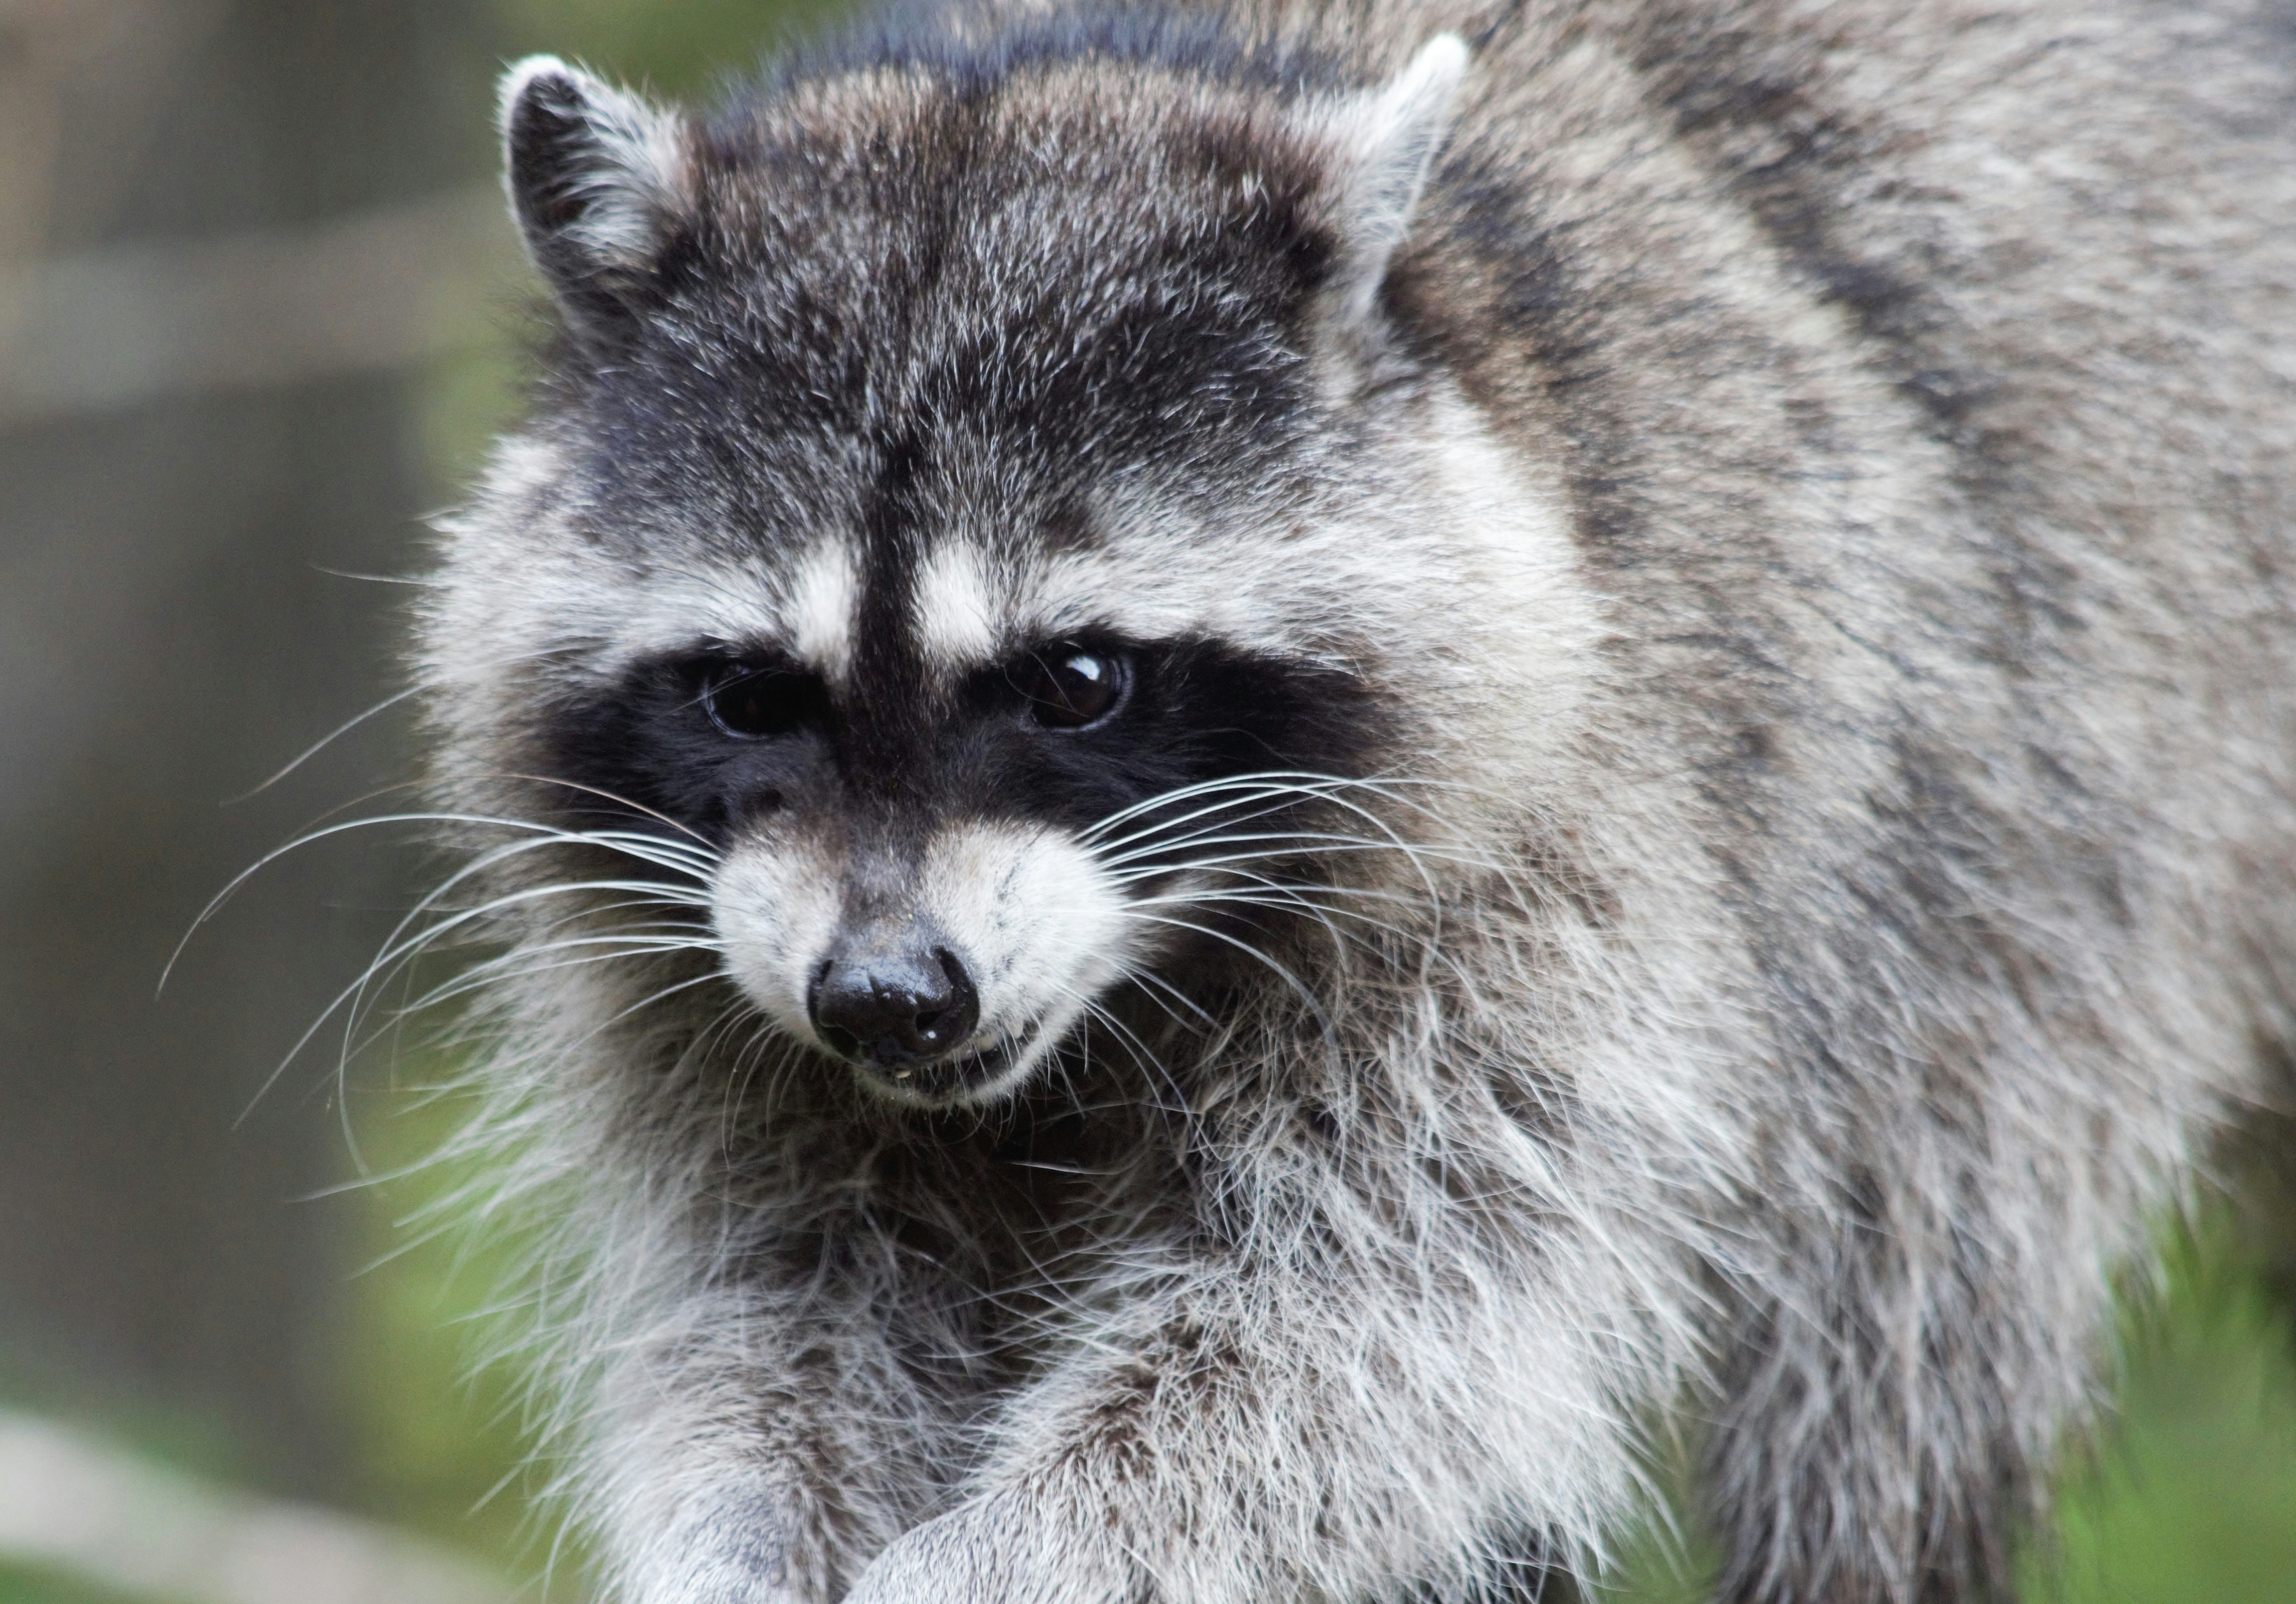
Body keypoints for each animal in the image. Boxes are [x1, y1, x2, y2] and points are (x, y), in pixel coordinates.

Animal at [411, 2, 2296, 1601]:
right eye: (748, 692)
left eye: (1075, 679)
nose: (885, 1001)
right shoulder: (705, 984)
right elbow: (774, 1314)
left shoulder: (1576, 855)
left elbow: (1354, 1334)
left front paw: (1000, 1561)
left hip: (2021, 819)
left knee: (1894, 1342)